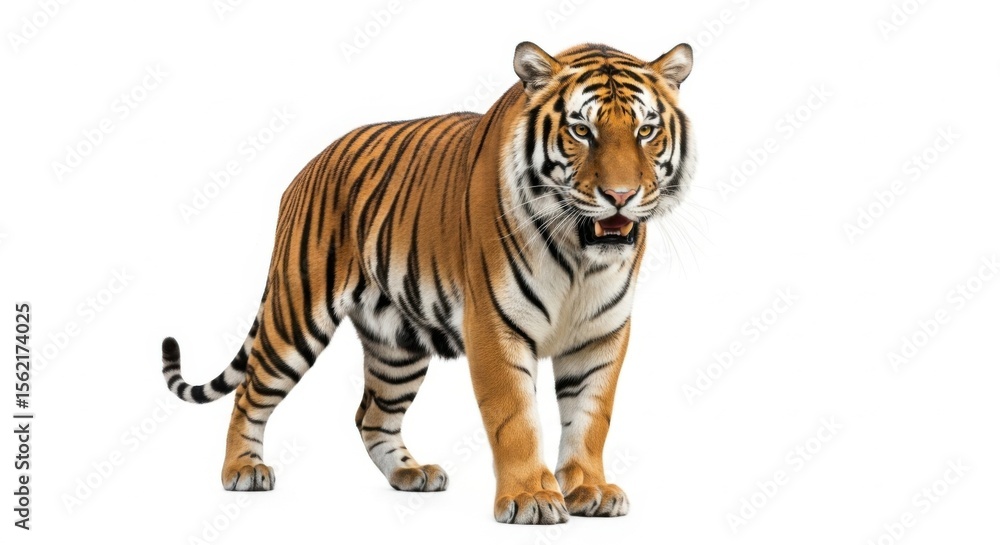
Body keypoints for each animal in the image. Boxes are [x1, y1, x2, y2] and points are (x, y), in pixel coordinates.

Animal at [161, 41, 694, 525]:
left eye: (646, 131)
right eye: (581, 131)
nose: (621, 196)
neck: (580, 257)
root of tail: (309, 166)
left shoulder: (601, 334)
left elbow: (590, 417)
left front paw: (591, 490)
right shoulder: (495, 326)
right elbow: (516, 418)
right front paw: (531, 498)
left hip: (397, 345)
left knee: (371, 416)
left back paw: (410, 474)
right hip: (295, 316)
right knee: (250, 393)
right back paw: (242, 470)